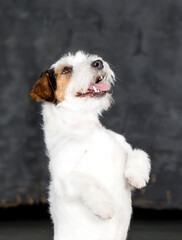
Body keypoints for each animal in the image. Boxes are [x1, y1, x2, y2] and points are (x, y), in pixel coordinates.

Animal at [29, 51, 151, 240]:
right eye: (66, 69)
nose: (98, 63)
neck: (86, 130)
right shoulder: (65, 177)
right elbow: (88, 183)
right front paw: (105, 207)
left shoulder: (125, 151)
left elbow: (138, 154)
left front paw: (137, 176)